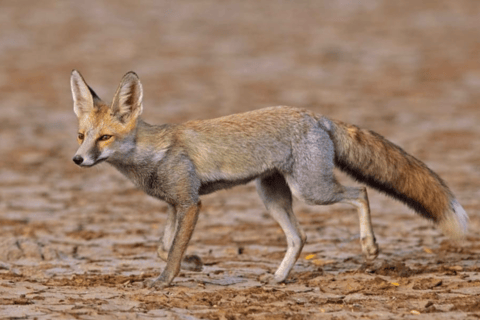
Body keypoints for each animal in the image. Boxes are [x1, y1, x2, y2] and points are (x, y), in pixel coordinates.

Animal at [71, 70, 468, 290]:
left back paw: (370, 246)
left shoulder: (191, 202)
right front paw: (196, 262)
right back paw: (279, 279)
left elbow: (171, 253)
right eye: (81, 136)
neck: (150, 154)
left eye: (104, 138)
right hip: (272, 196)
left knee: (360, 192)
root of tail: (315, 115)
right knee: (300, 236)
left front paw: (165, 281)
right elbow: (162, 247)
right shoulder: (175, 204)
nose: (77, 159)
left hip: (312, 190)